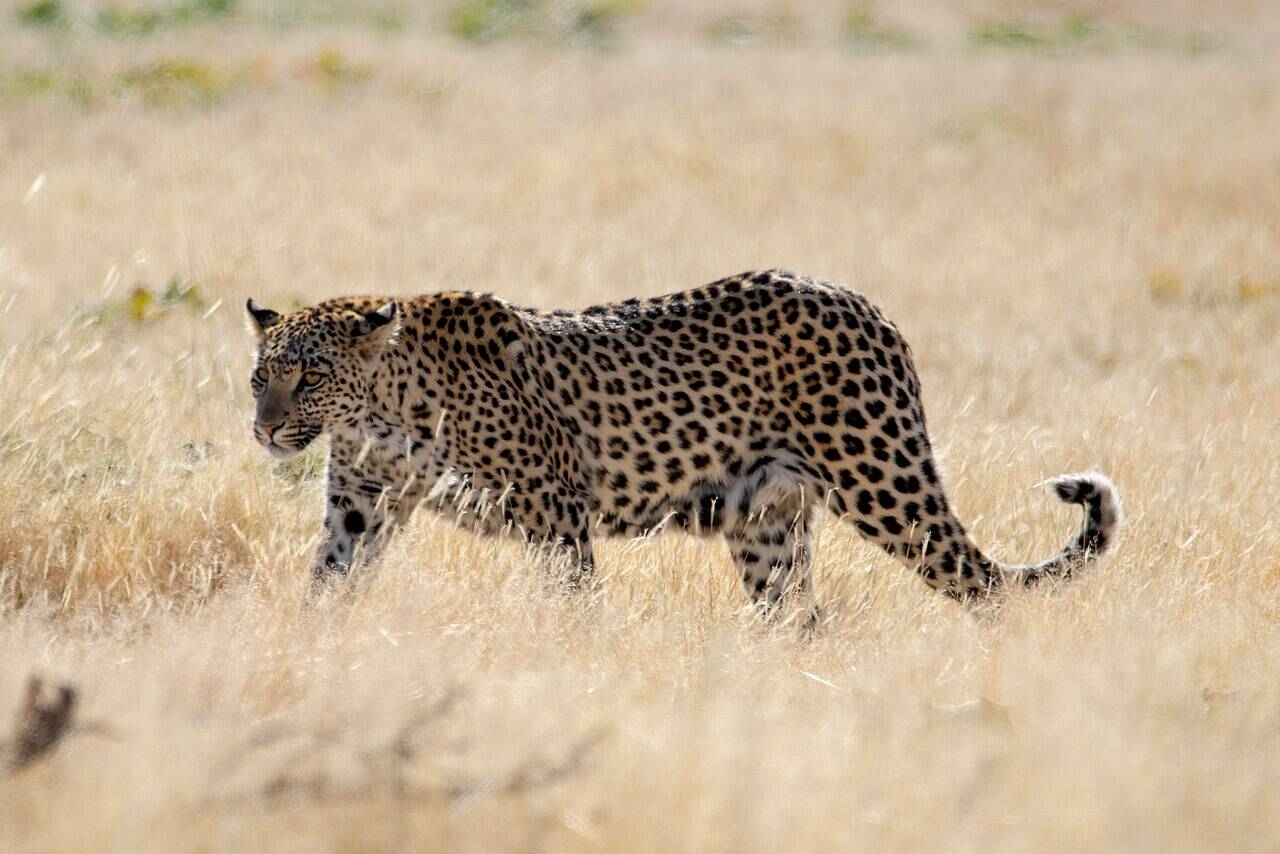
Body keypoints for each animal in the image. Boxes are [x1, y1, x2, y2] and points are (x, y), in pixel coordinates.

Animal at [246, 269, 1120, 616]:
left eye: (310, 373)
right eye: (260, 376)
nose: (264, 428)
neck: (381, 408)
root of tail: (864, 303)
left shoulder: (552, 505)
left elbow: (574, 599)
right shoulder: (361, 504)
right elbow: (328, 579)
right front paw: (312, 646)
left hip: (882, 482)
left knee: (978, 584)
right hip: (767, 520)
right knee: (798, 614)